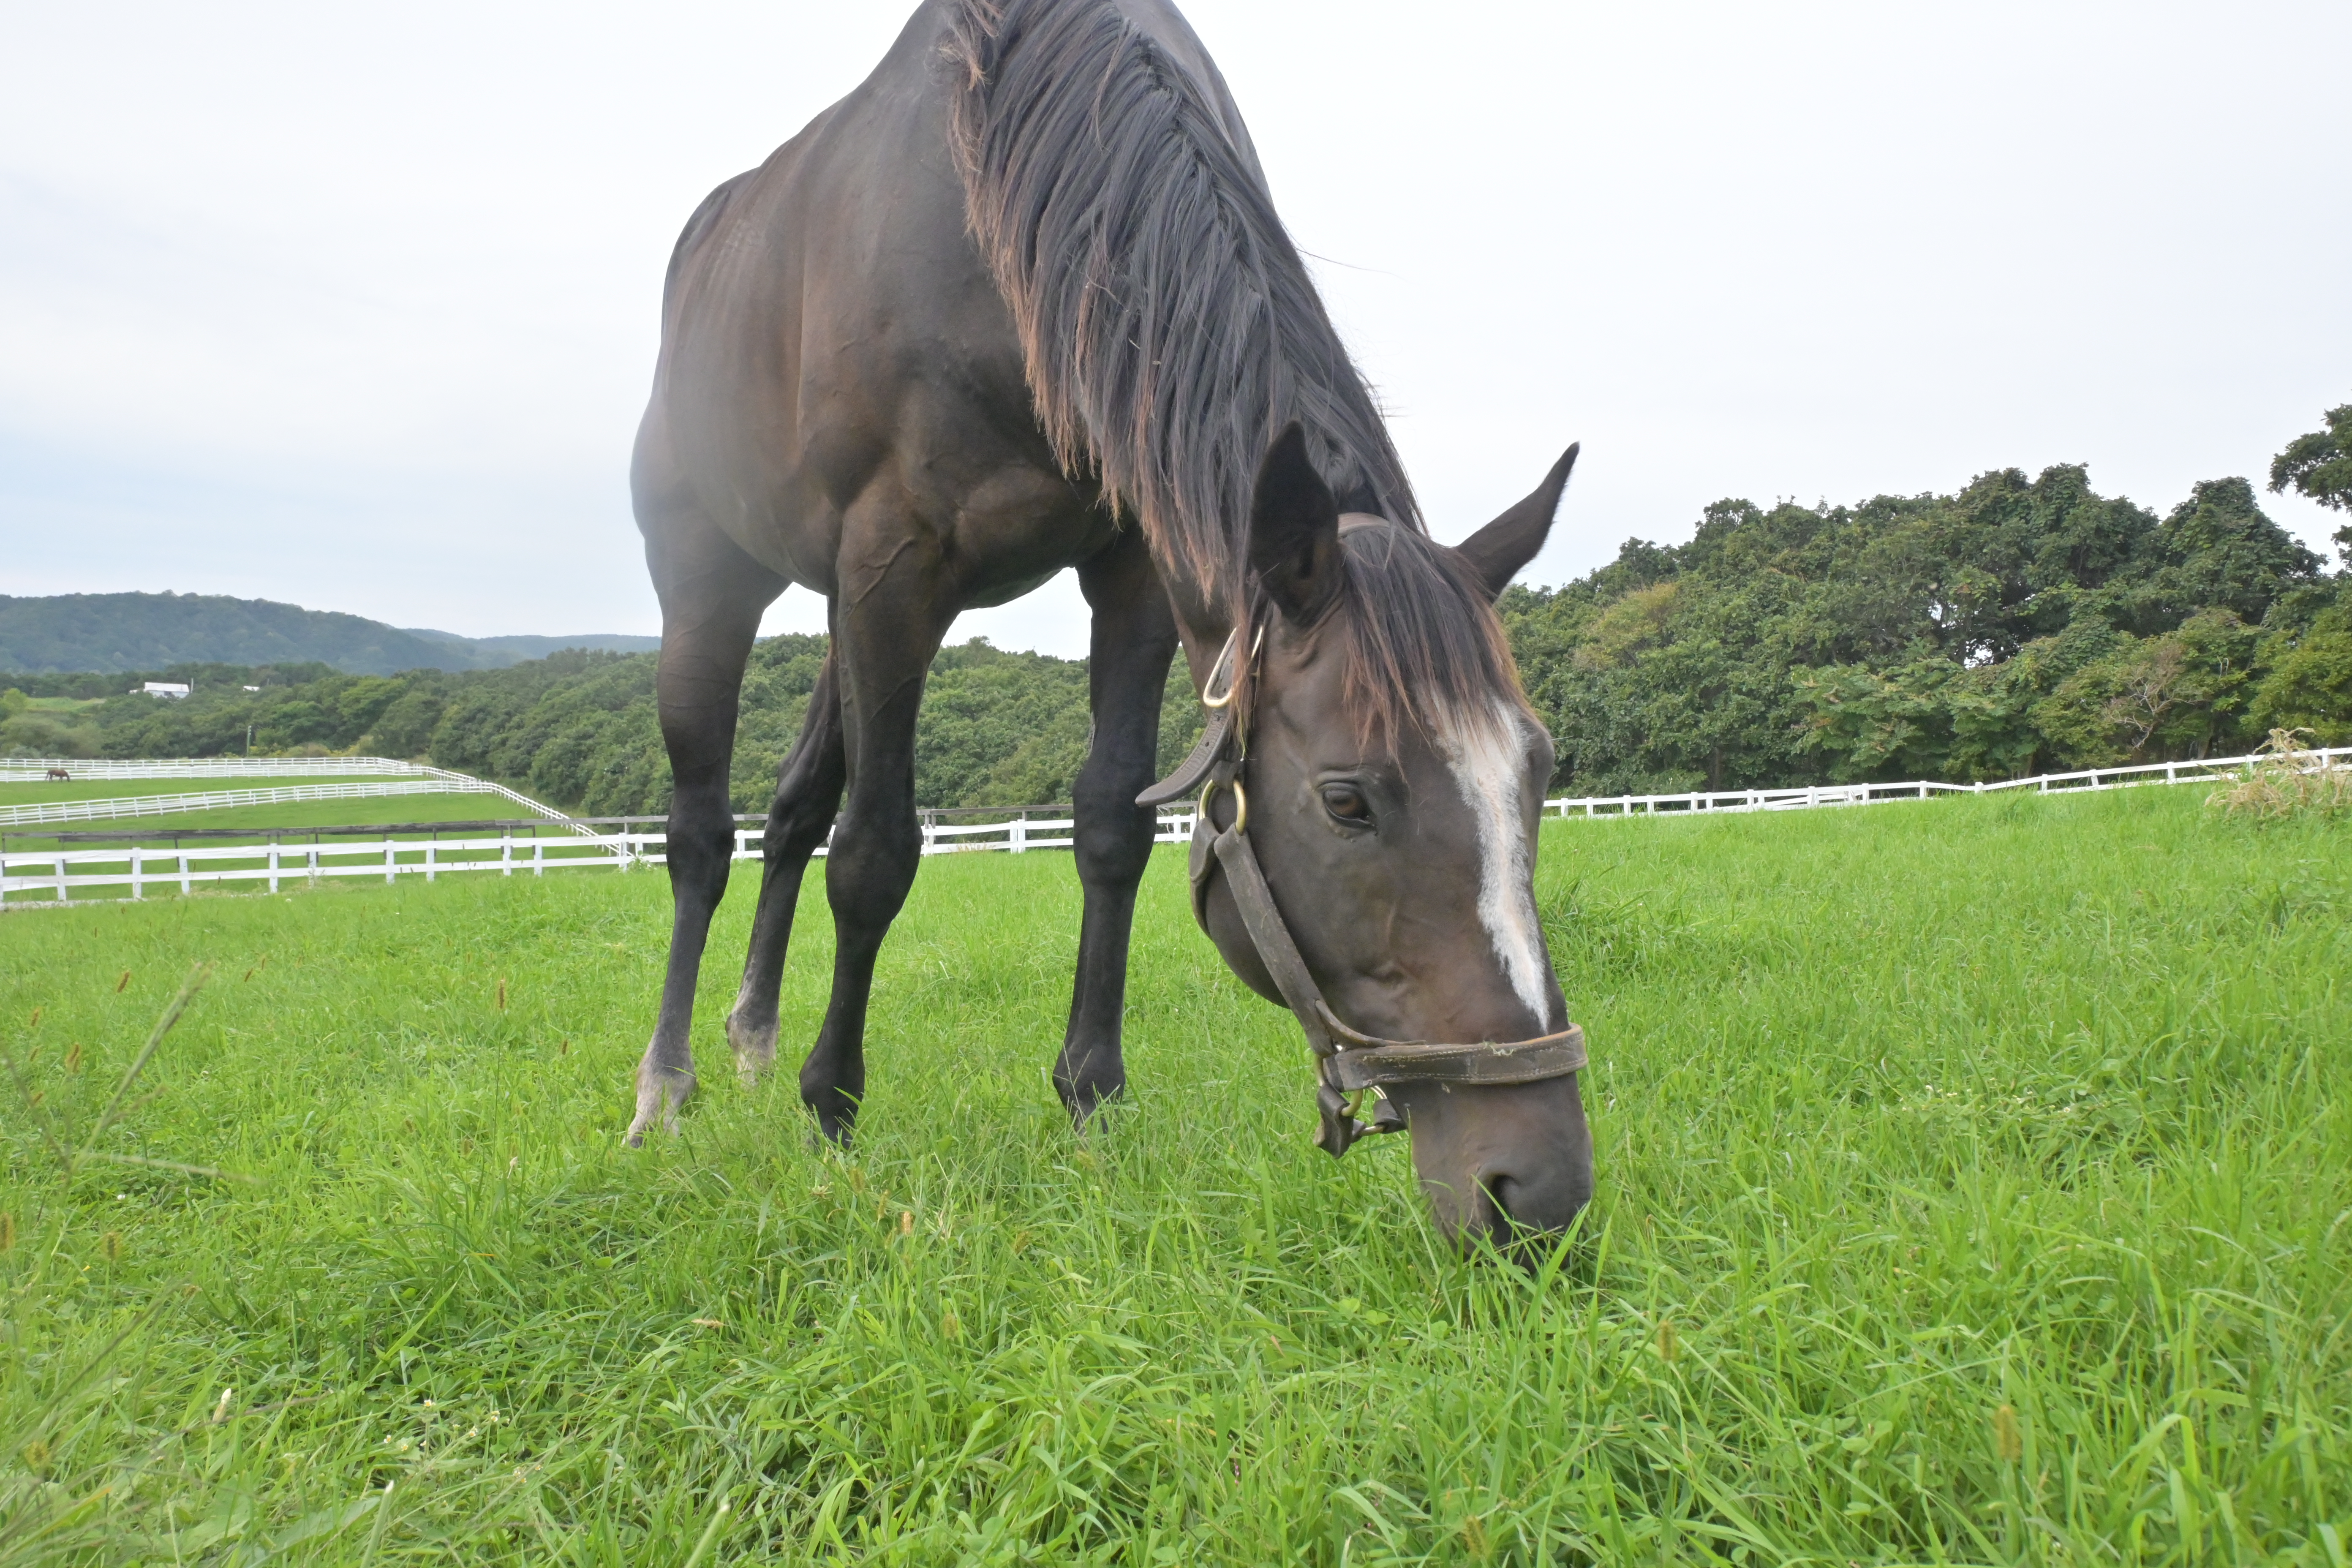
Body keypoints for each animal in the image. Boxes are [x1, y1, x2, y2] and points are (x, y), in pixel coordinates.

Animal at [627, 0, 1593, 1244]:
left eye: (1539, 771)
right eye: (1347, 801)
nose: (1541, 1189)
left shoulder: (1132, 568)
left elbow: (1110, 825)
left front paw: (1090, 1103)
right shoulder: (894, 562)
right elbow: (876, 852)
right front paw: (831, 1116)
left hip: (842, 624)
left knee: (790, 806)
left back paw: (750, 1043)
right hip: (715, 583)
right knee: (702, 836)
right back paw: (667, 1092)